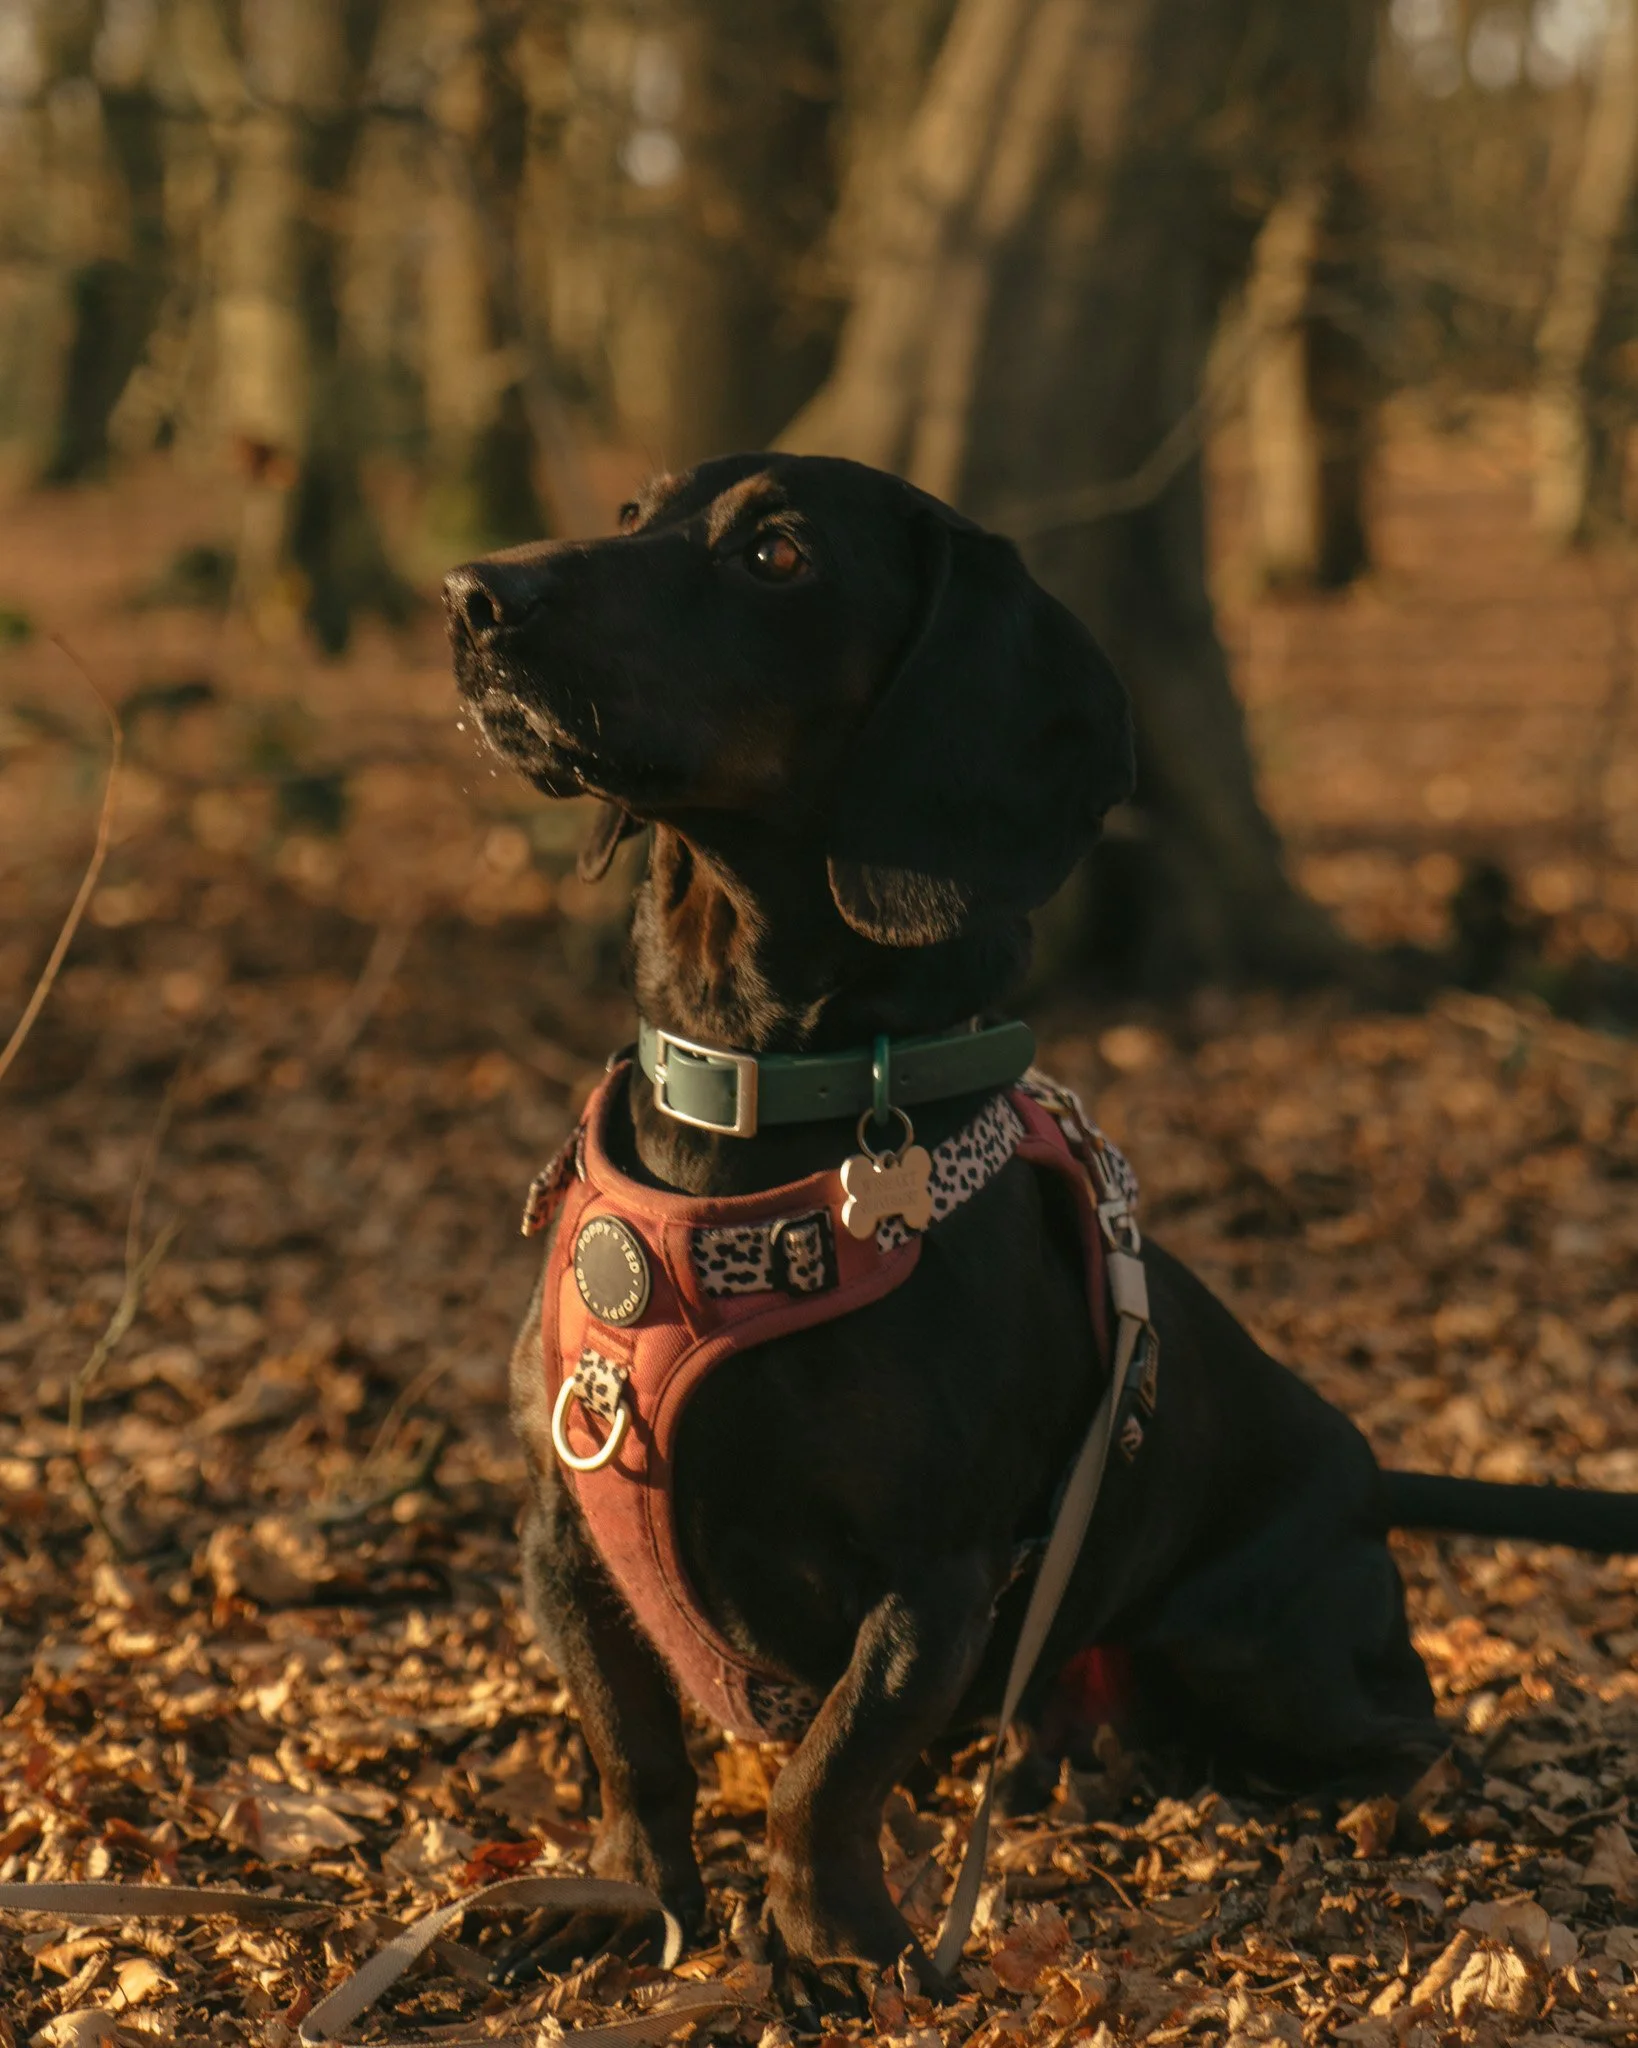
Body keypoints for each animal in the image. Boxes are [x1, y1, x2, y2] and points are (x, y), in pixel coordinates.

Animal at [444, 453, 1638, 1996]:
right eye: (636, 512)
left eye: (777, 554)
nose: (472, 594)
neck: (759, 1119)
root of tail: (1371, 1471)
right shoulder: (562, 1524)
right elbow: (631, 1749)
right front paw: (623, 1902)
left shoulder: (934, 1573)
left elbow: (826, 1770)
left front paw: (835, 1941)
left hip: (1254, 1645)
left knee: (1420, 1732)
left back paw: (1364, 1808)